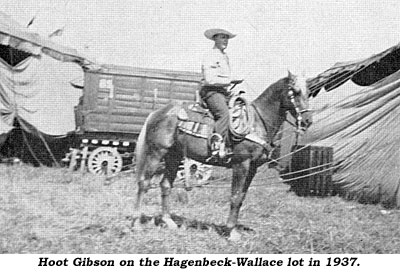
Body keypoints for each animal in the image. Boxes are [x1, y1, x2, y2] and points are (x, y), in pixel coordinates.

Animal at [133, 71, 310, 239]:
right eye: (296, 92)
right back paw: (136, 223)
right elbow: (235, 196)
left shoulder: (252, 167)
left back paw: (168, 221)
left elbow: (241, 197)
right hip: (156, 152)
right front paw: (231, 231)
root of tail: (159, 112)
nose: (307, 121)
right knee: (144, 183)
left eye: (308, 92)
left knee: (165, 185)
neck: (257, 122)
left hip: (174, 156)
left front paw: (231, 228)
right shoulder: (241, 164)